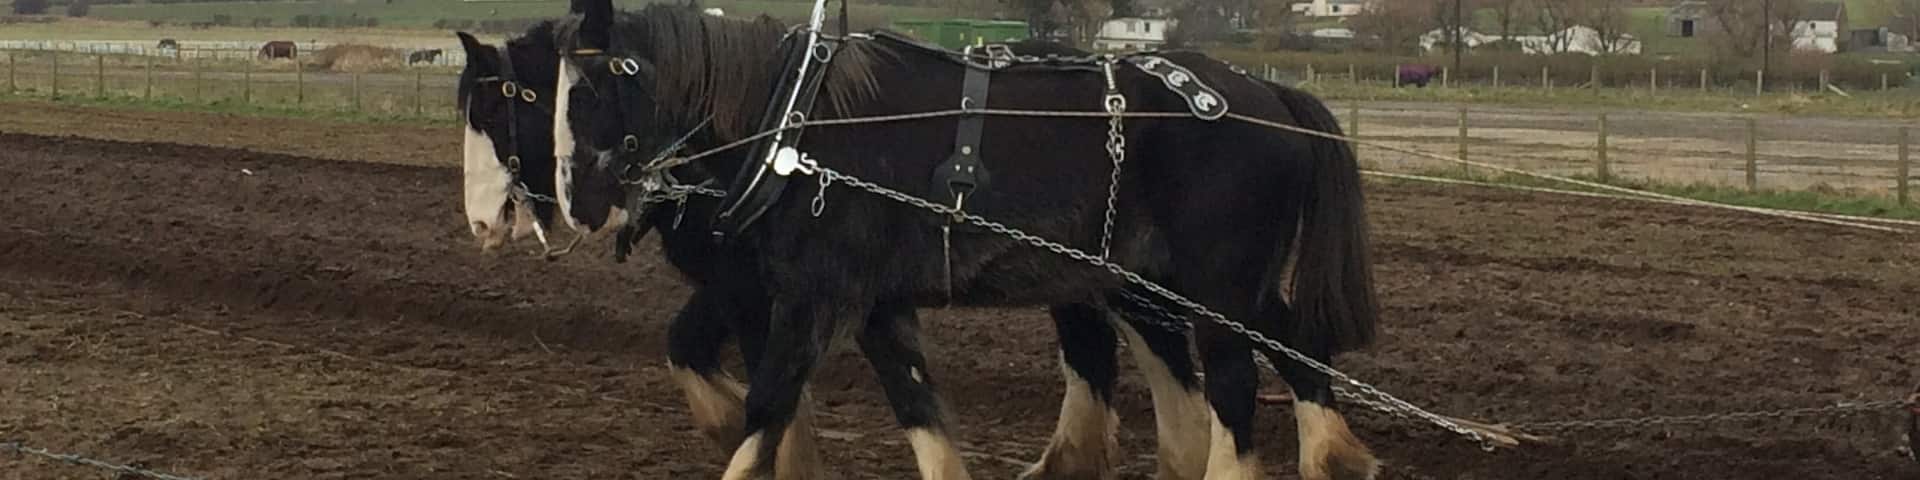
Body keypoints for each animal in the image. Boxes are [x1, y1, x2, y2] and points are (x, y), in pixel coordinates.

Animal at [549, 2, 1382, 479]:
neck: (798, 125)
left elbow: (768, 403)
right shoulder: (869, 300)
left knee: (1236, 386)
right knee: (1280, 343)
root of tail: (1263, 91)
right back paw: (1333, 453)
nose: (571, 202)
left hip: (1216, 286)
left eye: (588, 91)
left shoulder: (811, 295)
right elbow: (913, 400)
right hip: (1169, 280)